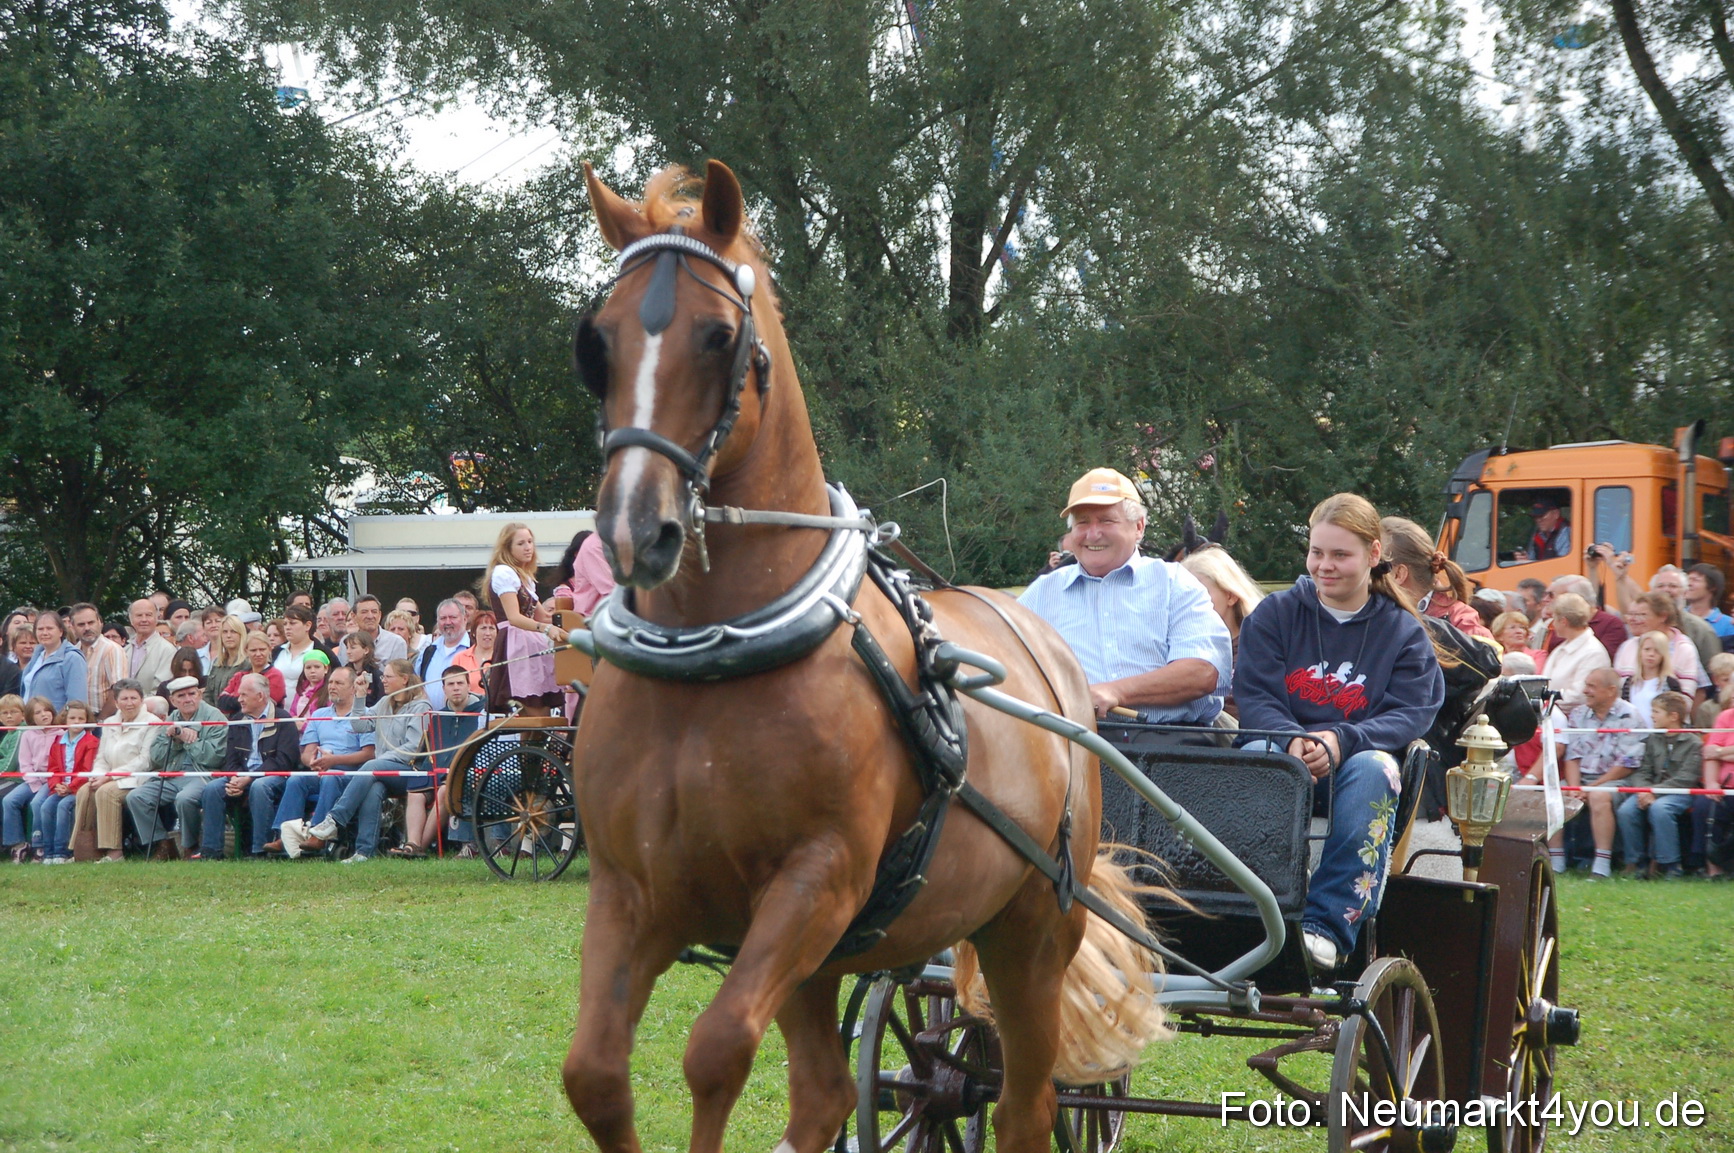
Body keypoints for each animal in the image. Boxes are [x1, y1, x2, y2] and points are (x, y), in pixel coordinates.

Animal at [563, 159, 1164, 1153]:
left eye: (719, 335)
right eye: (597, 343)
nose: (633, 529)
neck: (713, 659)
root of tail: (1047, 645)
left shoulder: (817, 879)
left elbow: (714, 1051)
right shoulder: (633, 889)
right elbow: (597, 1077)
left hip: (1031, 930)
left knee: (1026, 1103)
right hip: (827, 956)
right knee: (827, 1095)